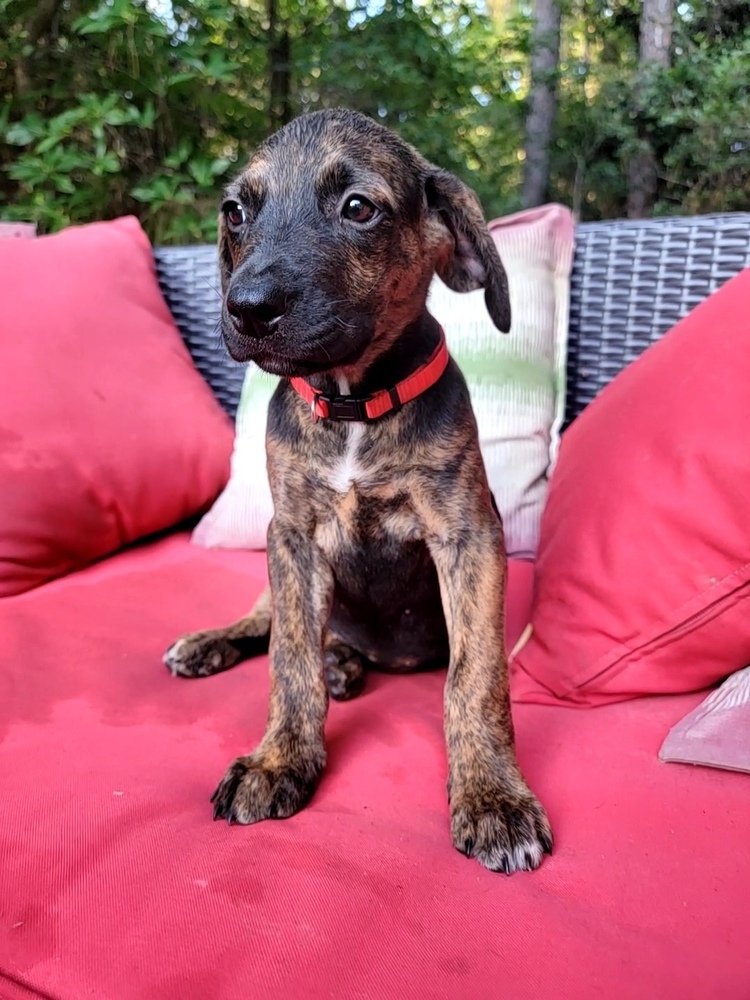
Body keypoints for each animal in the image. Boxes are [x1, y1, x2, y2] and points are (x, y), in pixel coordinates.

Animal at [164, 109, 552, 872]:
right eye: (236, 212)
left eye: (357, 208)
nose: (245, 308)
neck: (353, 406)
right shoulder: (290, 537)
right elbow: (289, 662)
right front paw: (280, 761)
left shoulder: (468, 536)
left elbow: (475, 678)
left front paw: (492, 796)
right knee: (264, 624)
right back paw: (222, 645)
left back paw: (343, 663)